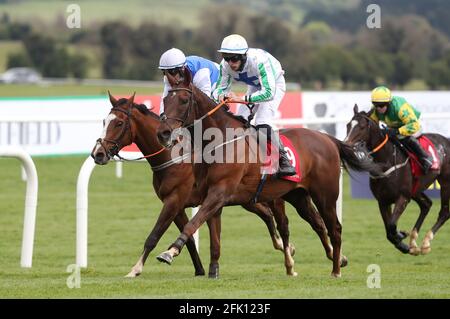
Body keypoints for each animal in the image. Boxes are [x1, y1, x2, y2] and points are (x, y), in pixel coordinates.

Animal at [155, 68, 380, 278]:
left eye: (184, 100)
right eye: (165, 99)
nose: (163, 133)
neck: (220, 141)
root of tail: (329, 139)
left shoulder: (220, 192)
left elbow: (192, 223)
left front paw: (170, 252)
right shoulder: (209, 195)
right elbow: (209, 232)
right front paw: (211, 269)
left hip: (325, 195)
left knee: (335, 228)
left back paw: (335, 270)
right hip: (297, 195)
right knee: (317, 223)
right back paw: (335, 259)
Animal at [344, 106, 450, 256]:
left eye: (362, 127)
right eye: (348, 125)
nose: (345, 145)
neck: (387, 159)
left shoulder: (402, 197)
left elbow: (392, 225)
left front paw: (401, 237)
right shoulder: (383, 201)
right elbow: (389, 231)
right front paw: (403, 242)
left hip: (445, 183)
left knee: (444, 212)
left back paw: (426, 242)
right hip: (416, 189)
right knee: (426, 204)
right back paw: (413, 241)